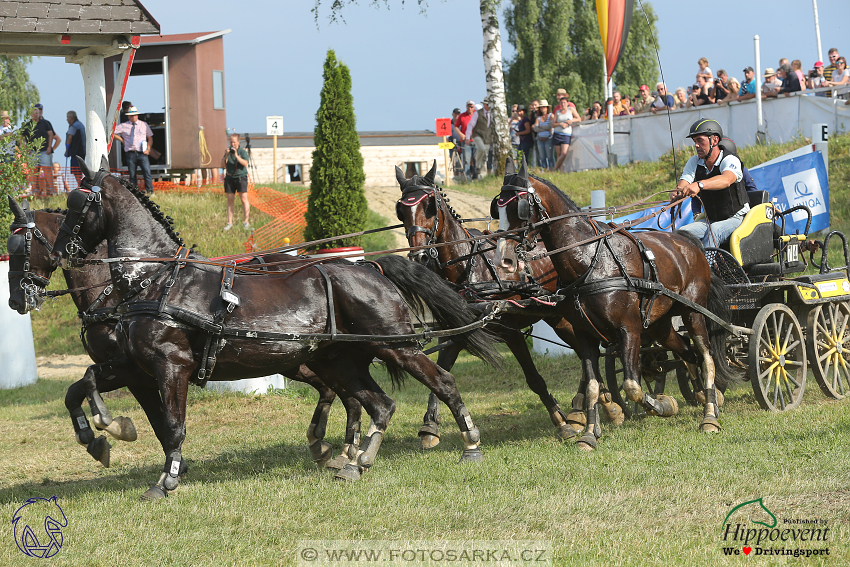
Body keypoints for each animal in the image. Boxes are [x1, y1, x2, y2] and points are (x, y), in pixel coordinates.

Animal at [43, 162, 500, 500]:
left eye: (79, 203)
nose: (59, 252)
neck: (155, 280)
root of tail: (371, 265)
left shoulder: (171, 364)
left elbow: (172, 425)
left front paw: (163, 478)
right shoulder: (134, 365)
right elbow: (82, 385)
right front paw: (101, 433)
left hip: (397, 346)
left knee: (440, 381)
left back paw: (469, 444)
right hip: (337, 360)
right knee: (377, 404)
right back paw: (356, 463)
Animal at [392, 162, 624, 446]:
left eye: (430, 206)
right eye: (401, 210)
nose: (420, 256)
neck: (469, 266)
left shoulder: (511, 332)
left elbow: (534, 379)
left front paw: (560, 422)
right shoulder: (459, 331)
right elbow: (440, 371)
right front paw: (429, 427)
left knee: (587, 353)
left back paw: (595, 407)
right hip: (559, 318)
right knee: (584, 353)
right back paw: (592, 406)